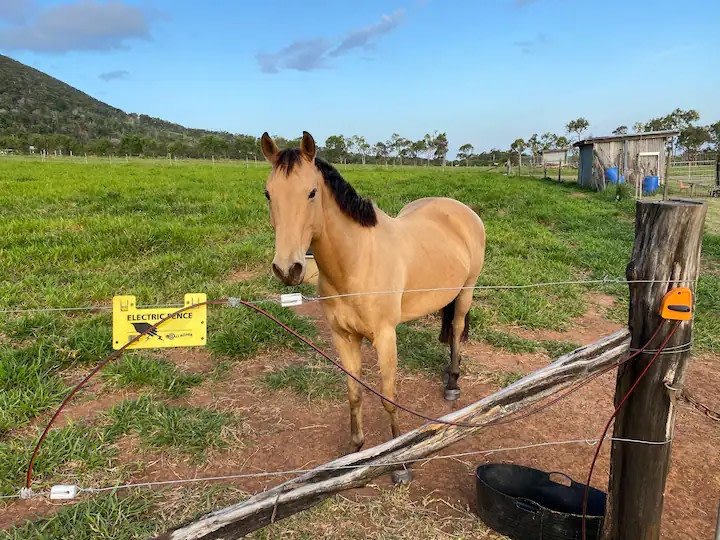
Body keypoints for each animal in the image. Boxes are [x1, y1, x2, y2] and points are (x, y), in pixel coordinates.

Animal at [261, 131, 486, 458]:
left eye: (311, 193)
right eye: (268, 194)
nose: (287, 268)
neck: (357, 262)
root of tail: (461, 210)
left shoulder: (385, 336)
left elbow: (388, 396)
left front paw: (398, 456)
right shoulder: (343, 337)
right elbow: (354, 394)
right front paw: (355, 447)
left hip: (467, 290)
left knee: (456, 329)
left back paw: (453, 382)